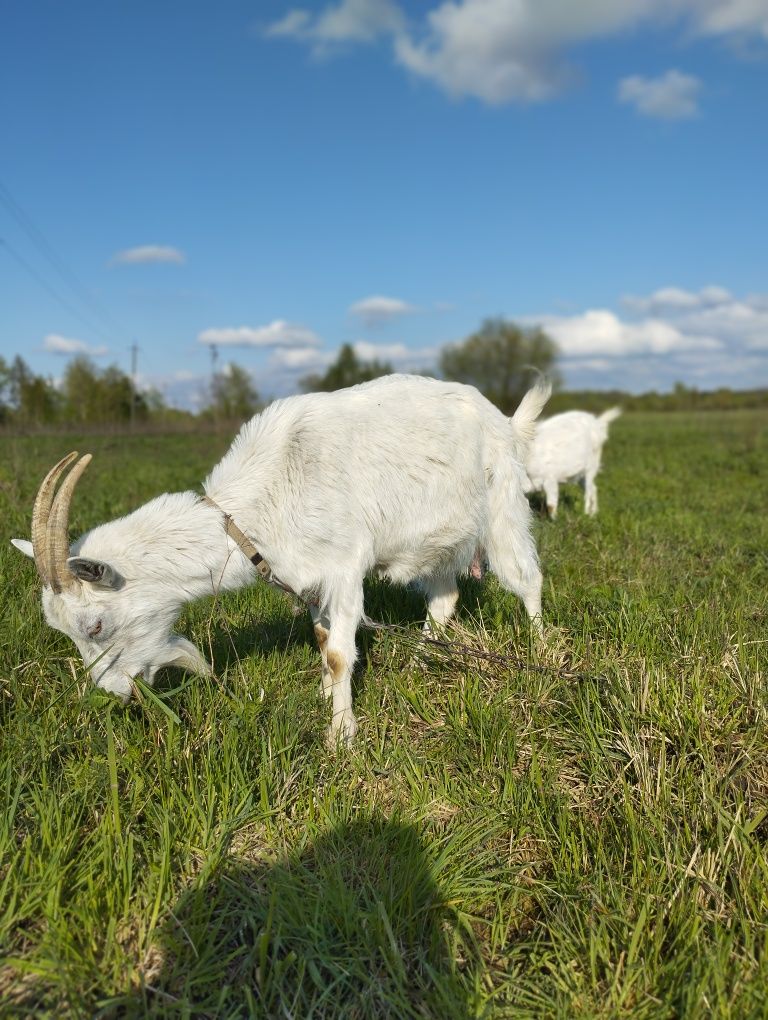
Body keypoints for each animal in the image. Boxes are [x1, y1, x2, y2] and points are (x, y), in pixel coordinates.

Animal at [13, 371, 550, 746]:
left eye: (95, 627)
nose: (113, 695)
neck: (254, 513)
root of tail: (504, 421)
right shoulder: (307, 576)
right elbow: (322, 638)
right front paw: (326, 696)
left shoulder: (344, 568)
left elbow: (339, 653)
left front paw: (341, 734)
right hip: (435, 542)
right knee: (444, 597)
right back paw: (421, 661)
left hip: (502, 506)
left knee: (527, 580)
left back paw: (543, 651)